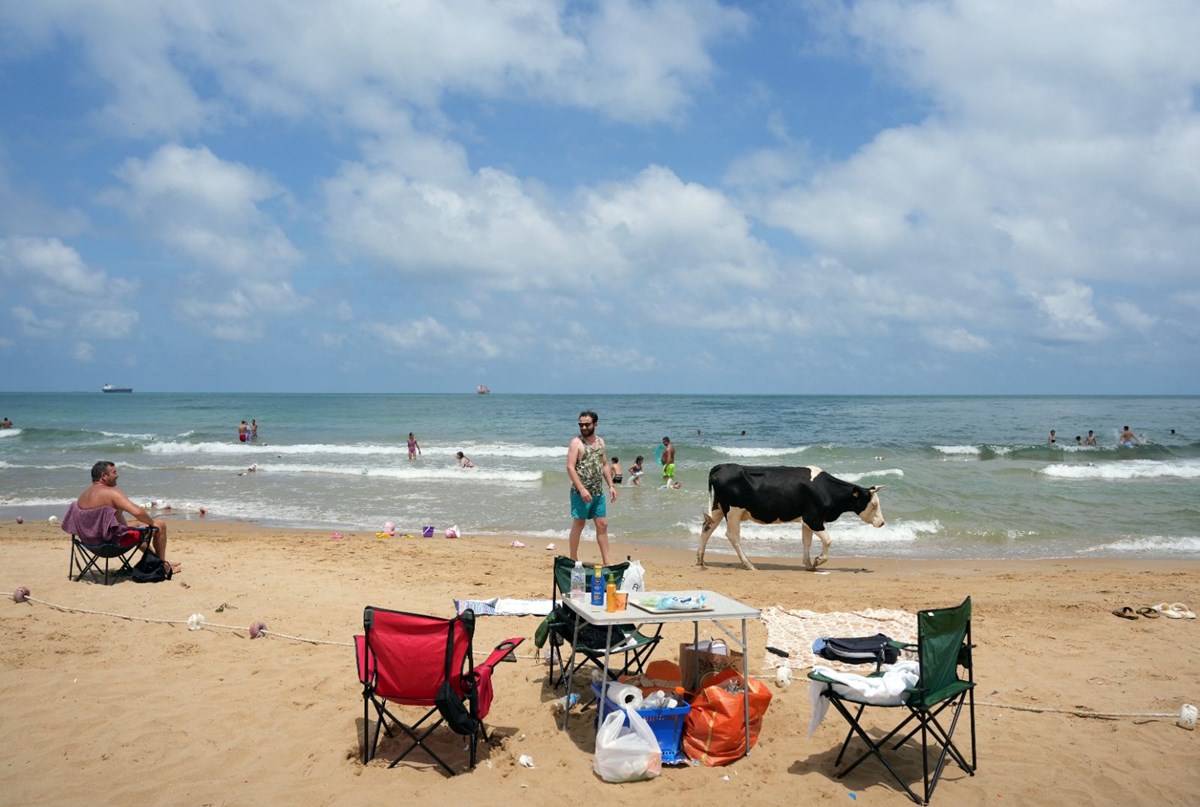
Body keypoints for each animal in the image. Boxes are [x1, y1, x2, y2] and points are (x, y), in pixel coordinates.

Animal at [700, 463, 888, 571]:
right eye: (873, 505)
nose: (882, 522)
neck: (826, 490)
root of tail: (723, 466)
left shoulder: (806, 520)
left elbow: (807, 541)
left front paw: (808, 563)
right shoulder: (813, 519)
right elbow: (827, 540)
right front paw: (818, 560)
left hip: (718, 507)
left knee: (707, 528)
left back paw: (700, 559)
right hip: (733, 511)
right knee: (732, 535)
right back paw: (749, 564)